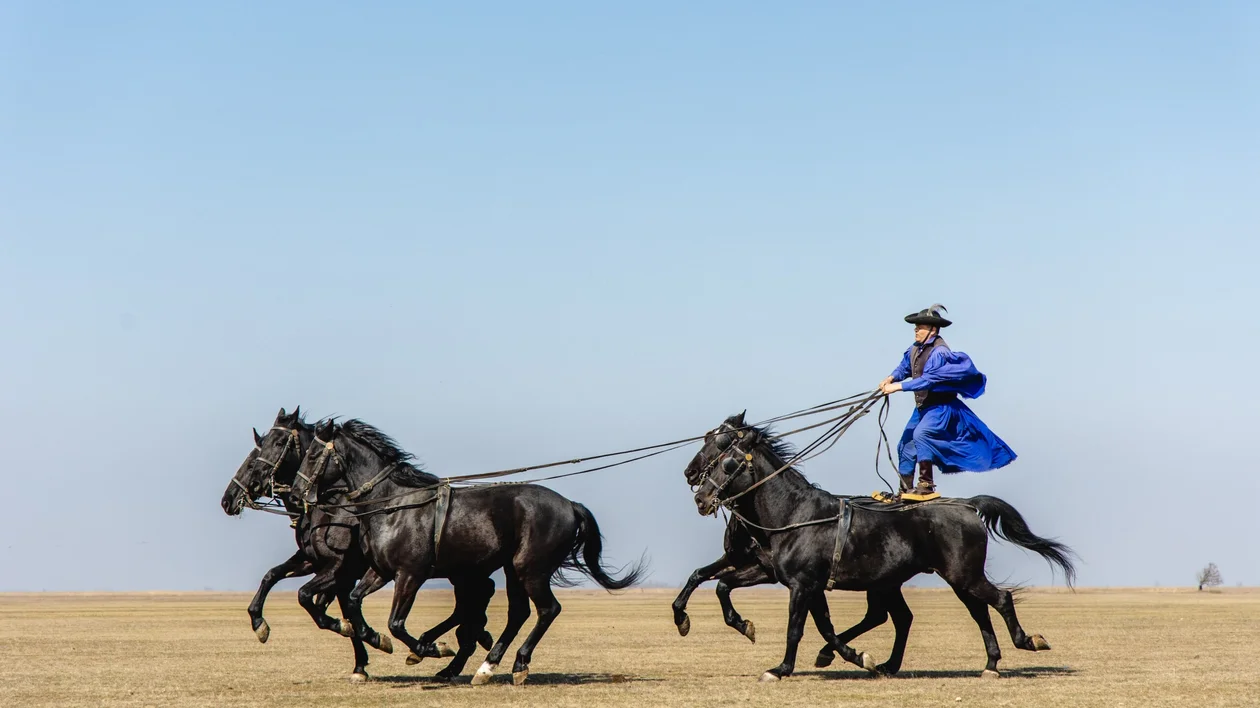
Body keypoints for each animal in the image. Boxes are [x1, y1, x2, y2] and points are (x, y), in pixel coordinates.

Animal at [221, 407, 494, 681]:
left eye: (276, 444)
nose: (228, 500)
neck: (332, 511)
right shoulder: (315, 562)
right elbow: (274, 577)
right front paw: (259, 624)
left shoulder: (342, 569)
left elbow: (312, 598)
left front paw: (366, 647)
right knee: (475, 603)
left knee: (473, 604)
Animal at [288, 418, 645, 686]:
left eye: (312, 455)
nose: (295, 493)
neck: (394, 504)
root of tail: (570, 505)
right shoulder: (380, 572)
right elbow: (353, 604)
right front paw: (376, 640)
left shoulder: (410, 575)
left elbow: (397, 623)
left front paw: (431, 648)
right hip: (512, 571)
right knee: (518, 614)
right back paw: (487, 667)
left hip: (530, 570)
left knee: (547, 610)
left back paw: (517, 665)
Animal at [686, 413, 1076, 681]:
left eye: (726, 459)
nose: (699, 495)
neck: (795, 515)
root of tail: (966, 505)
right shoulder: (793, 580)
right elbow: (817, 623)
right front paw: (850, 656)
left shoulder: (802, 585)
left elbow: (797, 628)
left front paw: (780, 668)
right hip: (935, 581)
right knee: (957, 613)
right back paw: (984, 663)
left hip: (960, 576)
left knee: (999, 600)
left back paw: (1027, 642)